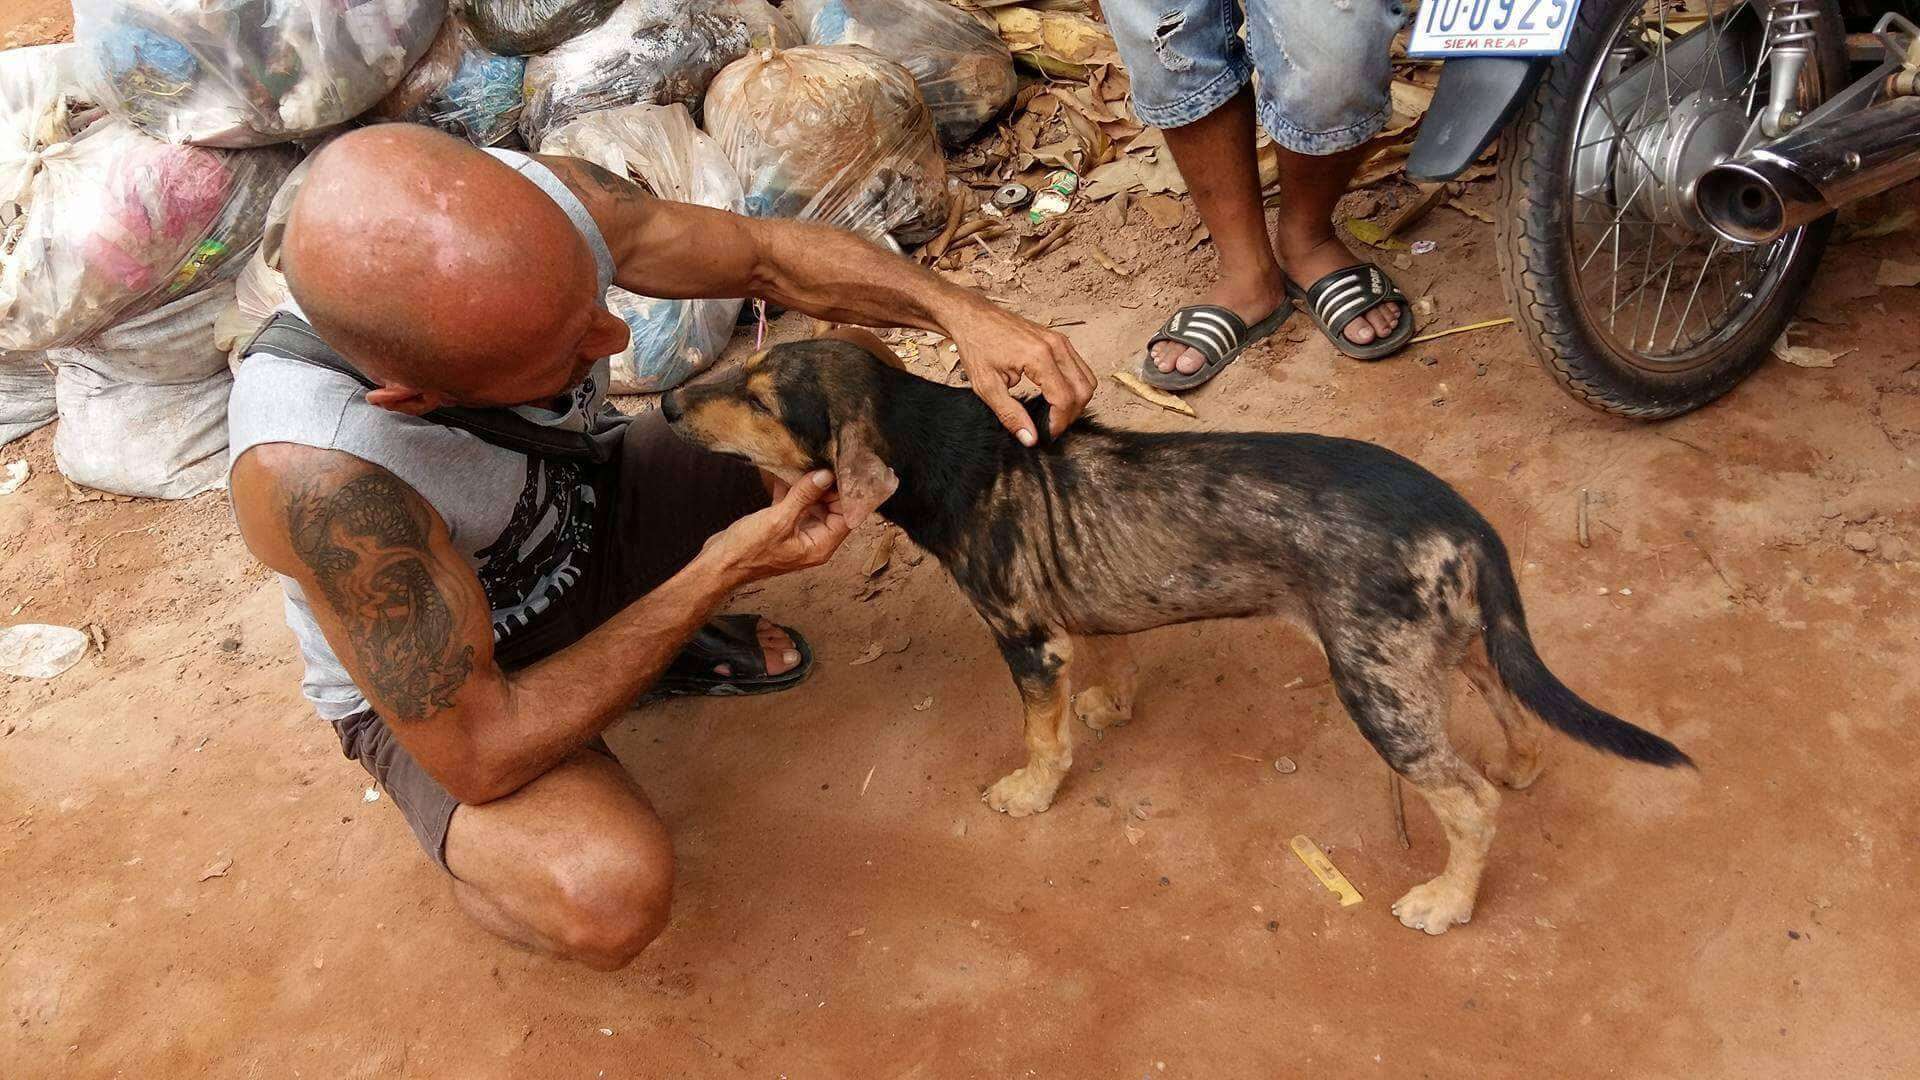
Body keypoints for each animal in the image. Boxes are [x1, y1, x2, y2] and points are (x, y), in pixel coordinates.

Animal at [664, 338, 1697, 933]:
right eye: (739, 366)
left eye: (762, 398)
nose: (668, 406)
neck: (934, 435)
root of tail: (1464, 519)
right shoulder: (1081, 608)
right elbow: (1112, 651)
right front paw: (1111, 705)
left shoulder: (1024, 637)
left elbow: (1040, 734)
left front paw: (1031, 792)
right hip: (1450, 646)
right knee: (1513, 711)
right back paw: (1520, 767)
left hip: (1377, 685)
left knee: (1469, 804)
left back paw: (1447, 901)